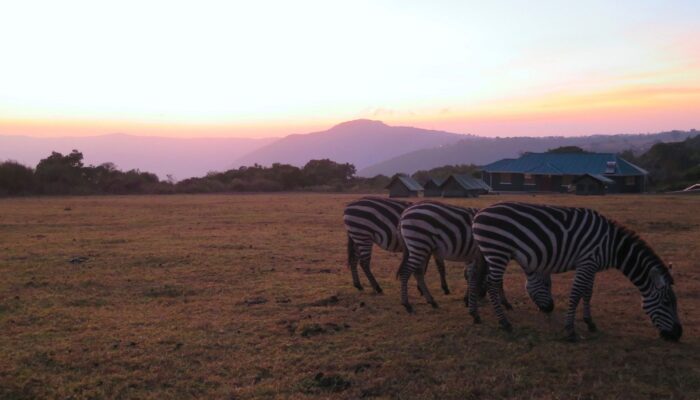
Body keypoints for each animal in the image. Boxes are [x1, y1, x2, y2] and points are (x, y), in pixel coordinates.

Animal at [394, 202, 552, 314]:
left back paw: (431, 301)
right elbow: (496, 281)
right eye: (548, 285)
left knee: (418, 273)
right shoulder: (495, 255)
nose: (550, 309)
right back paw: (407, 304)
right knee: (406, 272)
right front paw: (505, 303)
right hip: (419, 244)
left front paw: (469, 299)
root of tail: (405, 212)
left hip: (421, 248)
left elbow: (472, 276)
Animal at [468, 202, 680, 342]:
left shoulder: (591, 265)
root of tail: (479, 213)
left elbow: (587, 293)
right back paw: (504, 323)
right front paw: (570, 330)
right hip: (497, 251)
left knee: (474, 275)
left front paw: (590, 322)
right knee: (491, 284)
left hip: (486, 251)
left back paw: (475, 315)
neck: (613, 246)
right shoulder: (586, 262)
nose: (678, 334)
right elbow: (576, 293)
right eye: (667, 303)